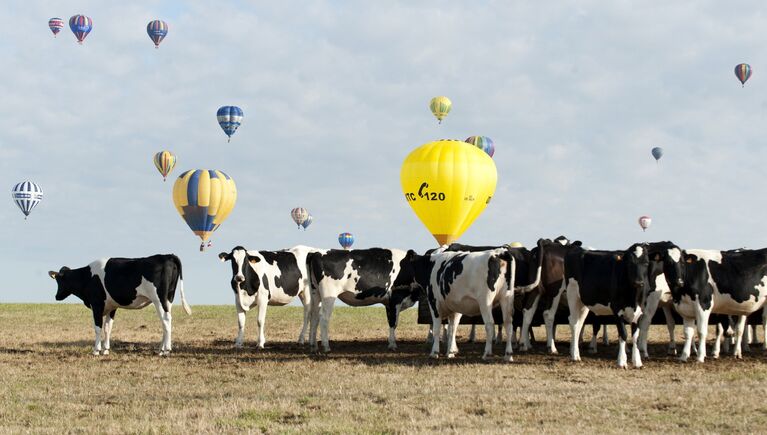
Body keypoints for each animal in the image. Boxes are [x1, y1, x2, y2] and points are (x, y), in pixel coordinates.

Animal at [48, 258, 191, 356]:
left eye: (59, 280)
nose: (56, 296)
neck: (87, 277)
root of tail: (168, 256)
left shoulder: (97, 304)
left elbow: (98, 328)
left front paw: (96, 350)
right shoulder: (112, 307)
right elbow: (108, 328)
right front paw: (105, 350)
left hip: (158, 299)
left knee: (166, 320)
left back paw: (166, 350)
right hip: (168, 299)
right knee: (166, 322)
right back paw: (161, 350)